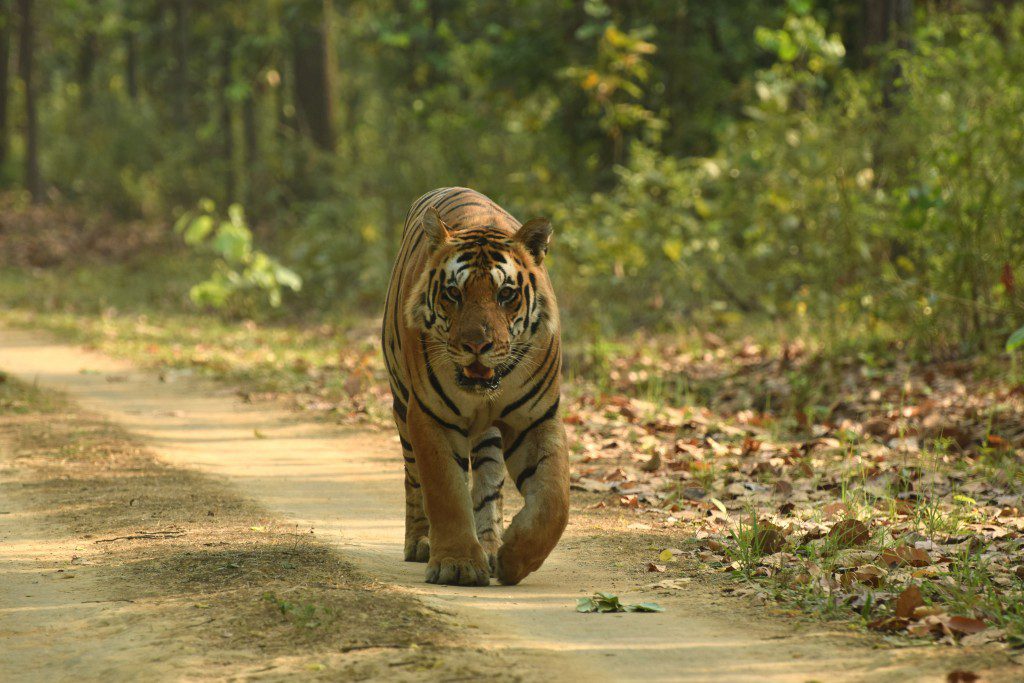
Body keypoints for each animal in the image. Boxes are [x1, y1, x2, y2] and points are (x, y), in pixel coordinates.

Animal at [385, 187, 573, 589]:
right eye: (453, 293)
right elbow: (446, 491)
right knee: (413, 480)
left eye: (506, 294)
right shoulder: (431, 416)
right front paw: (456, 565)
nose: (477, 345)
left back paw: (489, 546)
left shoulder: (537, 419)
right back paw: (421, 542)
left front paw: (514, 558)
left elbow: (554, 501)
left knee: (488, 484)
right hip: (402, 406)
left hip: (489, 436)